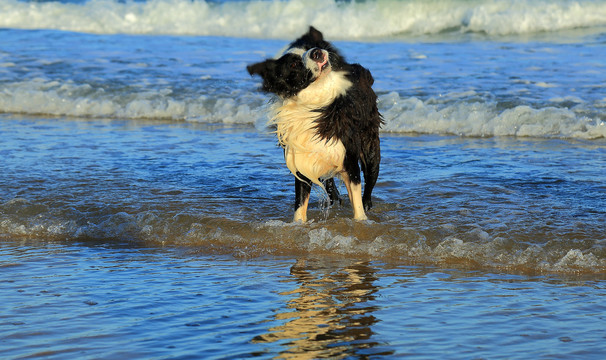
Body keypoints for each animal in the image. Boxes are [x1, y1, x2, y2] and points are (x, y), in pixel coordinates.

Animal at [248, 26, 382, 222]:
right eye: (293, 65)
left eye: (311, 47)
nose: (317, 52)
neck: (315, 97)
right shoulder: (301, 160)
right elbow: (300, 205)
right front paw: (298, 225)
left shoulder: (349, 160)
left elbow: (357, 203)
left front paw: (361, 220)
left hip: (370, 145)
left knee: (370, 180)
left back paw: (367, 204)